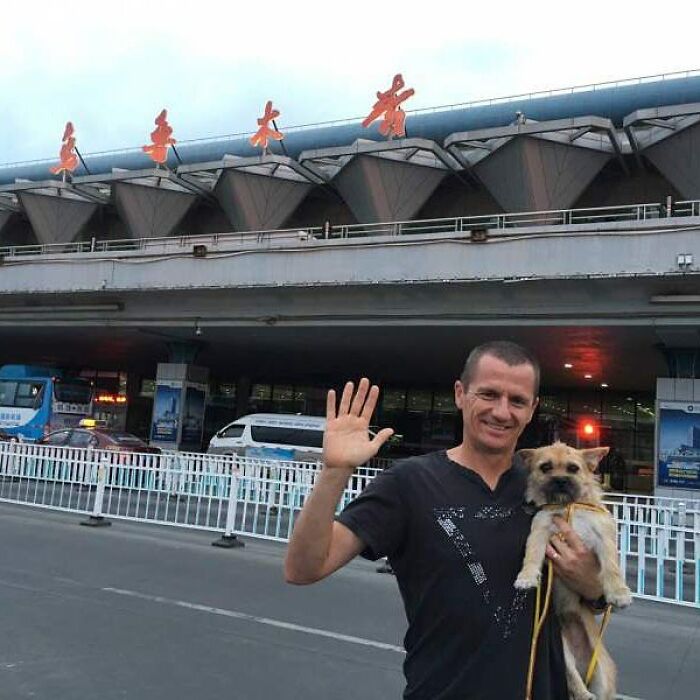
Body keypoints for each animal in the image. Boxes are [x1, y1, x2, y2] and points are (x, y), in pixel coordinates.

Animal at [516, 442, 636, 700]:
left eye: (573, 468)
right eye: (545, 467)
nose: (561, 480)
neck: (566, 505)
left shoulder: (603, 537)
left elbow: (611, 567)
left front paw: (619, 593)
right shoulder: (540, 533)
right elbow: (531, 556)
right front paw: (526, 577)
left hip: (602, 675)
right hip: (564, 654)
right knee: (573, 680)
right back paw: (583, 693)